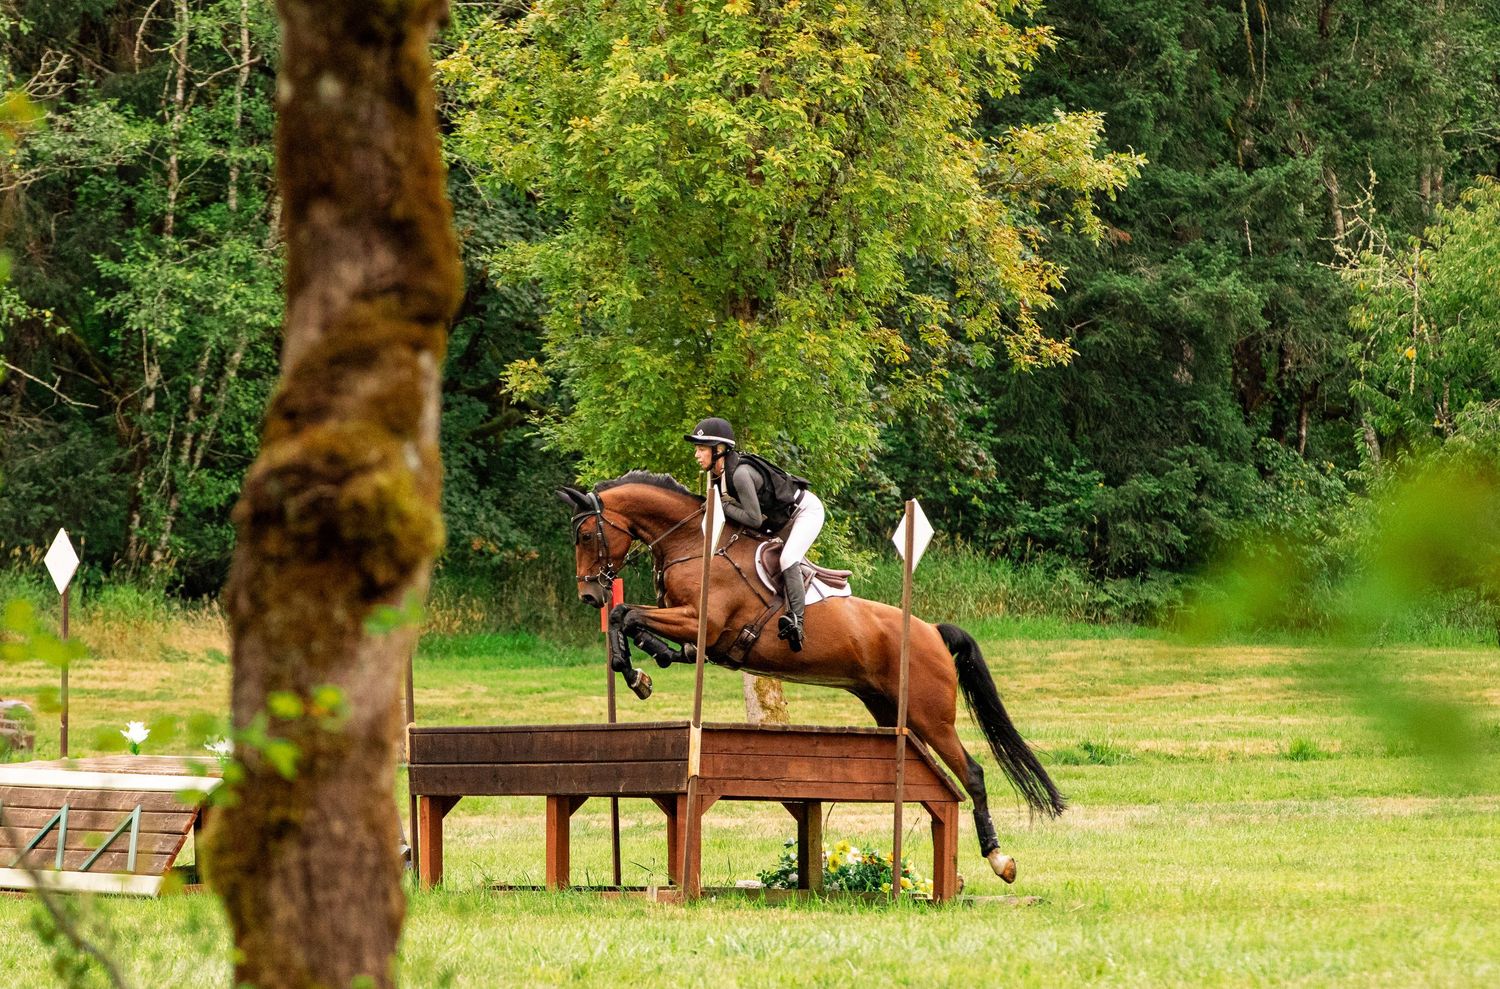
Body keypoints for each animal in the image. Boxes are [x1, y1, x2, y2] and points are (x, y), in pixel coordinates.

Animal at [557, 472, 1064, 883]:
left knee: (971, 774)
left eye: (584, 533)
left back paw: (999, 860)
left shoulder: (701, 622)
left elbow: (625, 613)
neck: (692, 545)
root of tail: (933, 632)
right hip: (893, 716)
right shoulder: (691, 629)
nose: (588, 595)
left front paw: (635, 669)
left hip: (931, 715)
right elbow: (629, 619)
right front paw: (641, 670)